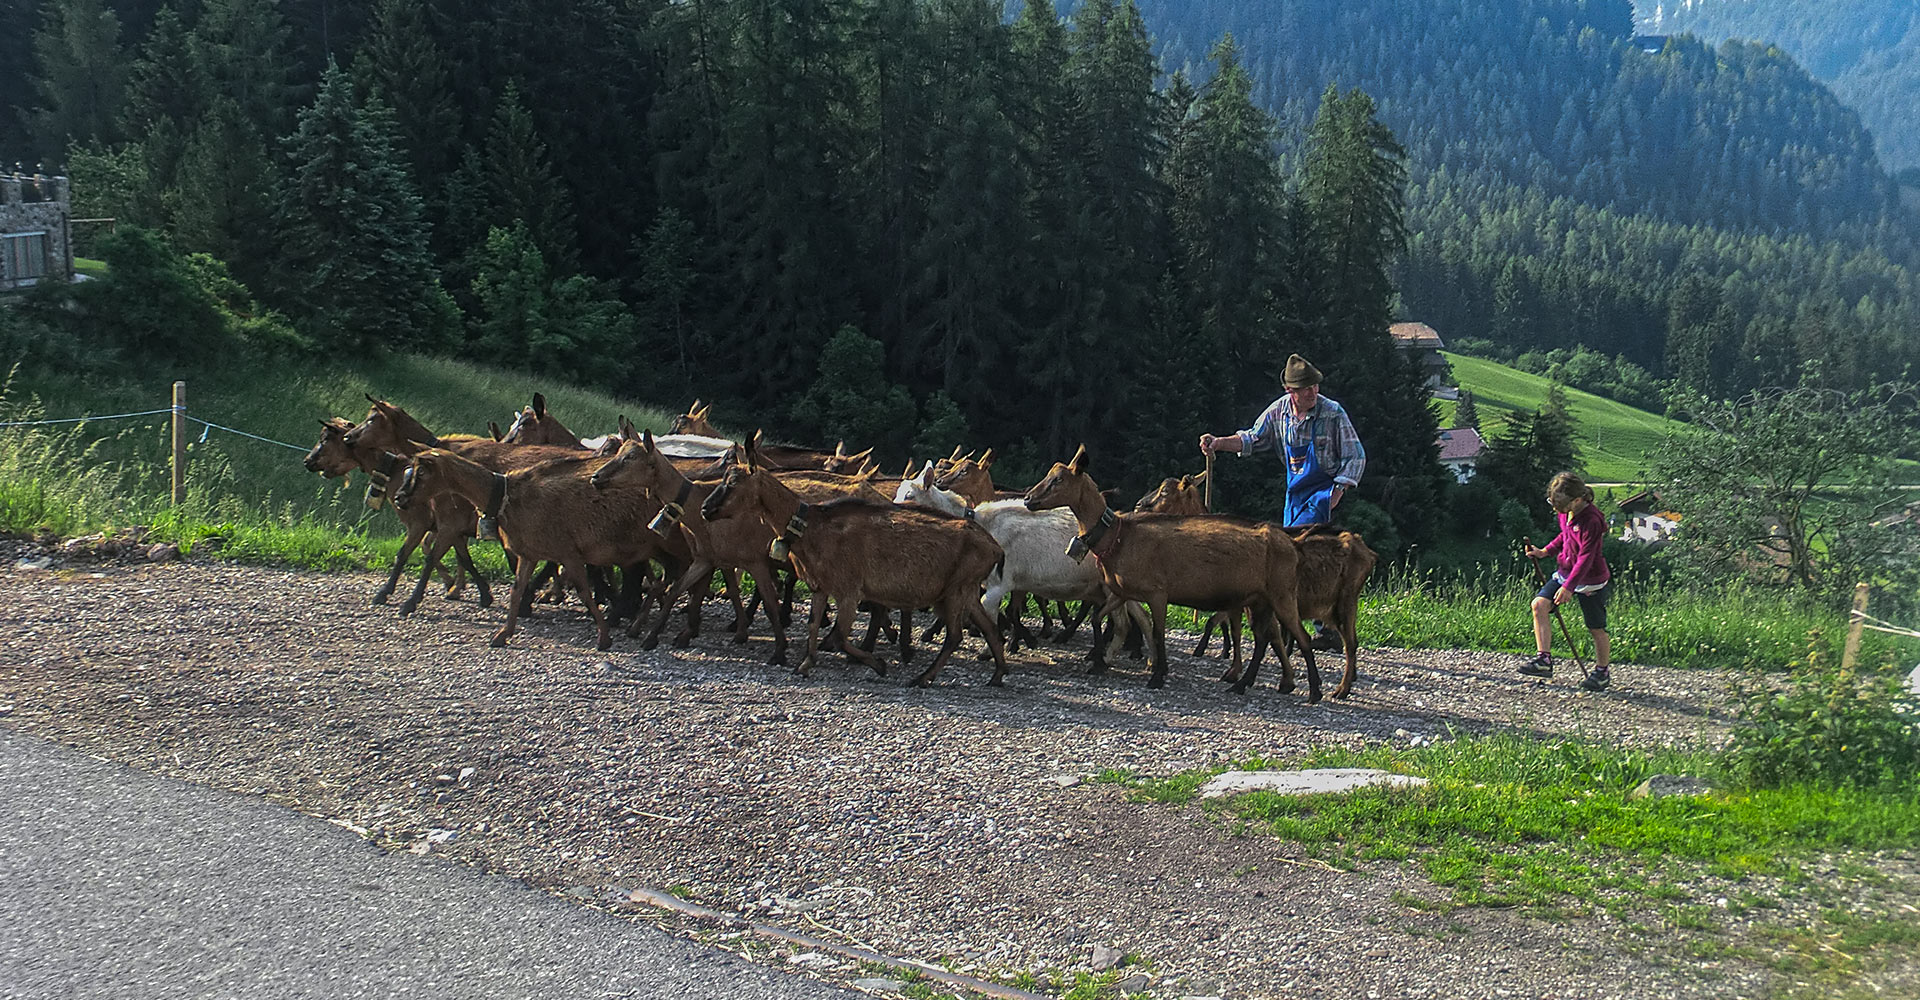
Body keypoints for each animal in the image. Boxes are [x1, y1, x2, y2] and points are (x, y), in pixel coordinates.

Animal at [702, 445, 1006, 687]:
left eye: (733, 482)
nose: (705, 509)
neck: (811, 524)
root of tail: (995, 547)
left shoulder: (849, 590)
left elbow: (839, 636)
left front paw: (878, 664)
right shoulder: (820, 586)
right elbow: (814, 624)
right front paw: (806, 663)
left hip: (955, 590)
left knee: (954, 637)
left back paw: (923, 677)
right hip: (966, 591)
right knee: (990, 629)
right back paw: (997, 675)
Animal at [1021, 449, 1320, 698]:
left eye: (1058, 479)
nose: (1027, 499)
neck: (1118, 536)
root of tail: (1292, 543)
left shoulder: (1157, 592)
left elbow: (1157, 632)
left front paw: (1157, 675)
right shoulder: (1123, 591)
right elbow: (1097, 618)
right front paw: (1097, 662)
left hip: (1282, 595)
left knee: (1300, 638)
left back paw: (1314, 691)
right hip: (1260, 601)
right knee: (1262, 641)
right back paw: (1244, 684)